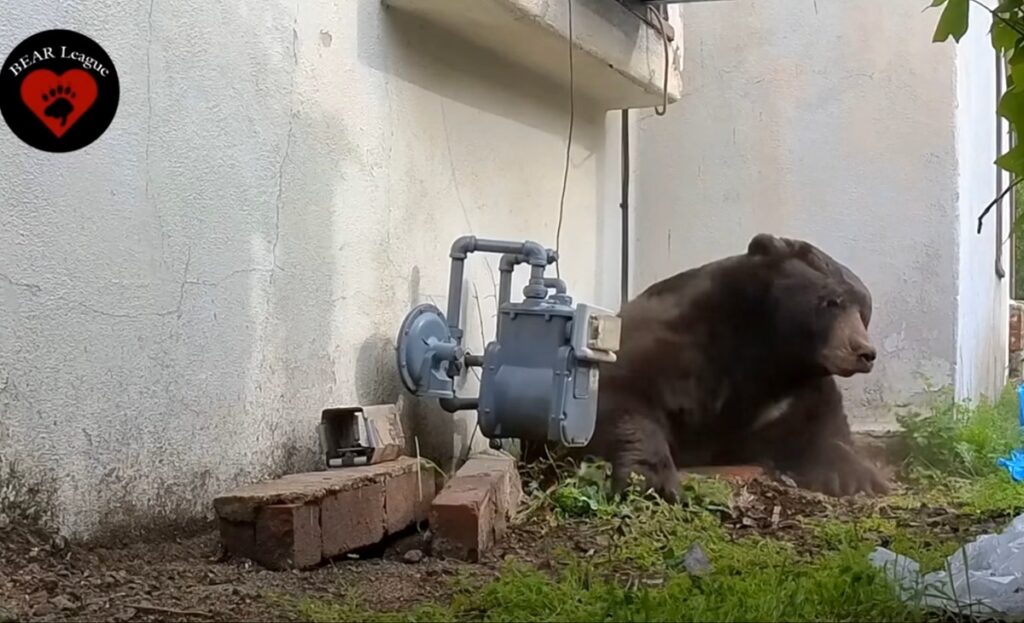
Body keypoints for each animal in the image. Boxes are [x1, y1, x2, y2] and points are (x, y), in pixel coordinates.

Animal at [571, 233, 889, 502]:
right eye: (831, 302)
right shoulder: (672, 346)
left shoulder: (788, 389)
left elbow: (819, 423)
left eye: (863, 311)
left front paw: (856, 476)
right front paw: (652, 480)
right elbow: (622, 395)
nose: (864, 352)